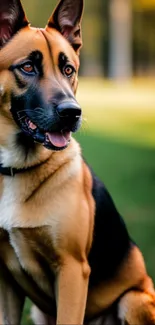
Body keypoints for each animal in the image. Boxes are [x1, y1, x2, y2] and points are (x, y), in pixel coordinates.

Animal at [0, 0, 155, 322]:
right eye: (28, 67)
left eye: (68, 69)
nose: (72, 112)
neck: (16, 168)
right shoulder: (6, 279)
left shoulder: (72, 271)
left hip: (133, 300)